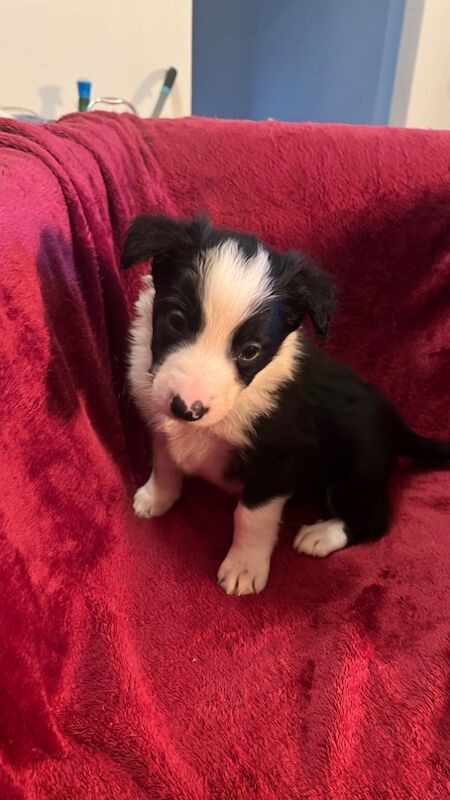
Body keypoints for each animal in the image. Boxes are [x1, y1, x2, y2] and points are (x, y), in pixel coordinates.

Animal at [122, 212, 450, 592]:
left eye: (250, 351)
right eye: (175, 320)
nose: (187, 408)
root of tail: (396, 421)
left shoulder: (276, 458)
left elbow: (250, 515)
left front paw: (244, 567)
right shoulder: (161, 419)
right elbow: (165, 461)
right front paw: (156, 498)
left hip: (356, 471)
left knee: (376, 517)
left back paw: (322, 534)